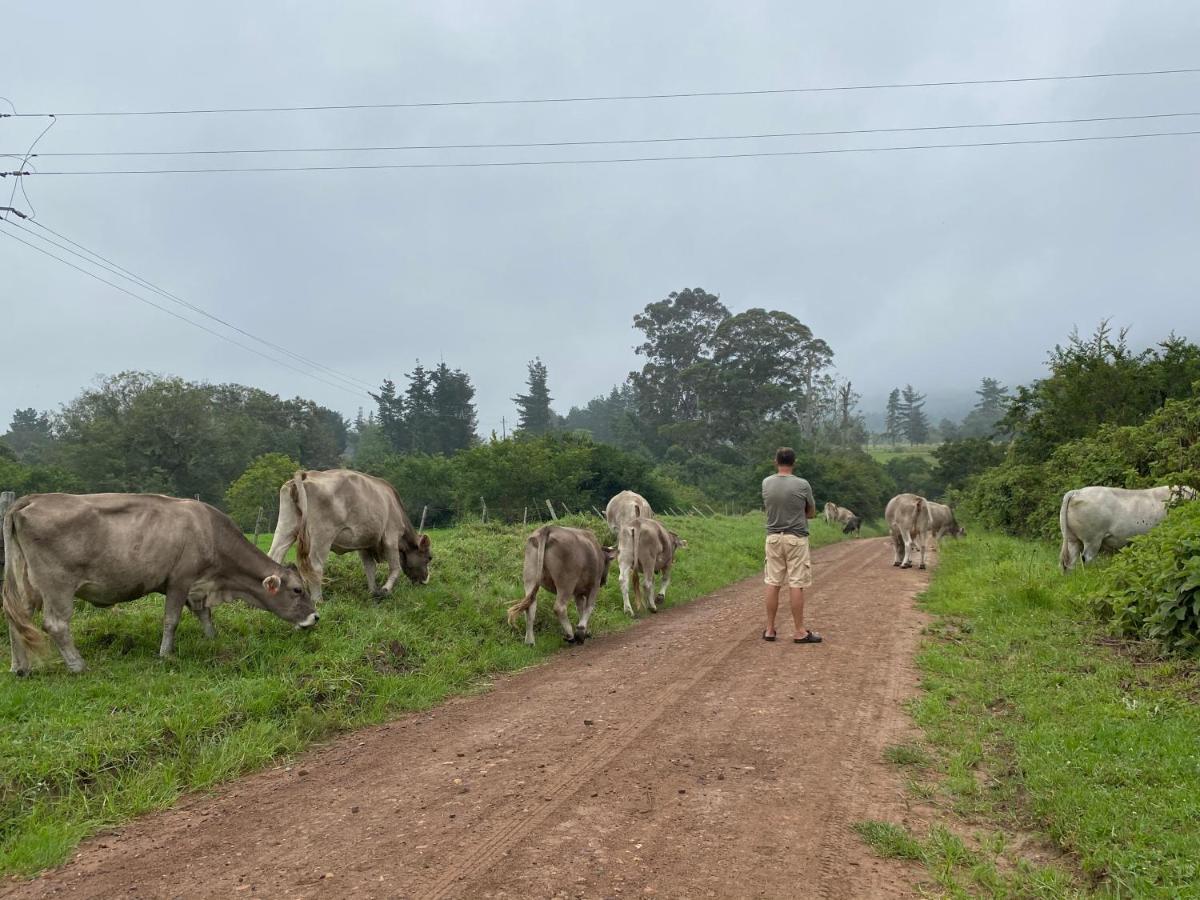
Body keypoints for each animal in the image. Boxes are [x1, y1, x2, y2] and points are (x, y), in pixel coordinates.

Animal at [1, 494, 319, 676]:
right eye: (297, 590)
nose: (315, 617)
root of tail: (30, 499)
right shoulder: (179, 579)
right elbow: (171, 620)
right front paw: (166, 655)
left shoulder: (197, 586)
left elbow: (204, 614)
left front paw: (212, 638)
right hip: (57, 585)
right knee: (55, 625)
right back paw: (78, 666)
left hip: (26, 583)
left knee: (17, 618)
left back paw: (20, 667)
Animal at [268, 472, 432, 607]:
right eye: (429, 557)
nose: (425, 580)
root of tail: (305, 475)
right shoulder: (391, 537)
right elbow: (395, 568)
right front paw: (385, 590)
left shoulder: (364, 545)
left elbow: (370, 568)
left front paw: (373, 591)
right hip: (322, 535)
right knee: (315, 566)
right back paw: (318, 600)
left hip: (286, 527)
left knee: (274, 556)